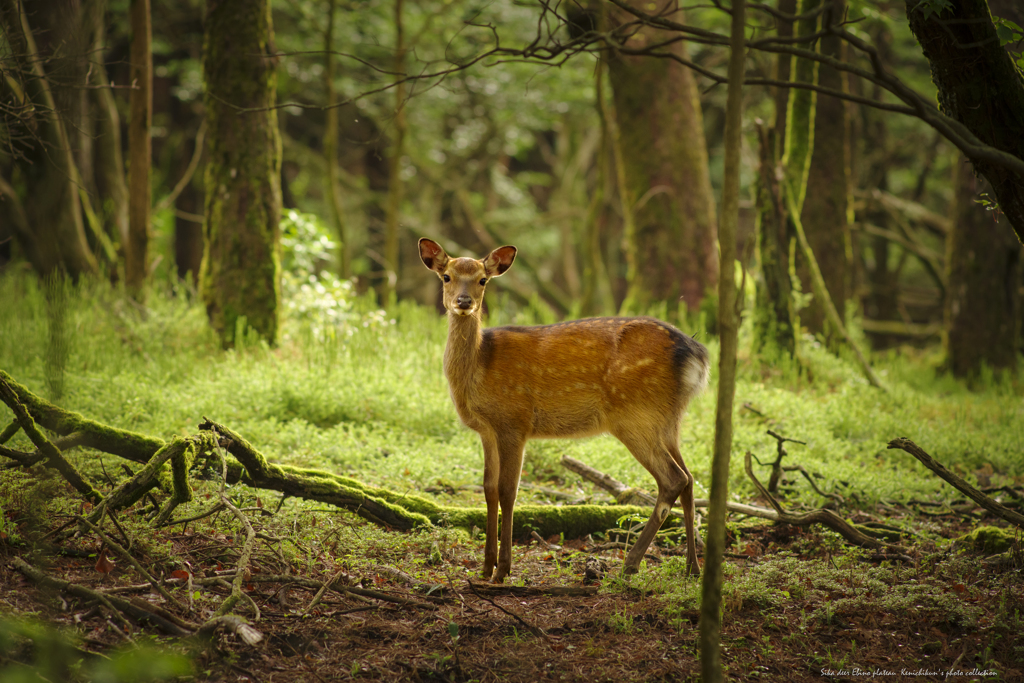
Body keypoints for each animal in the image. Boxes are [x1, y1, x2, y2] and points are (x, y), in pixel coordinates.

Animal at [419, 236, 708, 581]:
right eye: (446, 276)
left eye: (482, 280)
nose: (463, 301)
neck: (480, 365)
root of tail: (696, 355)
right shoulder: (487, 430)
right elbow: (488, 489)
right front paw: (485, 568)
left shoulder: (514, 422)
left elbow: (508, 491)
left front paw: (503, 570)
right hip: (668, 419)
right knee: (689, 479)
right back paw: (691, 567)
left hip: (634, 415)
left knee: (673, 479)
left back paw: (631, 563)